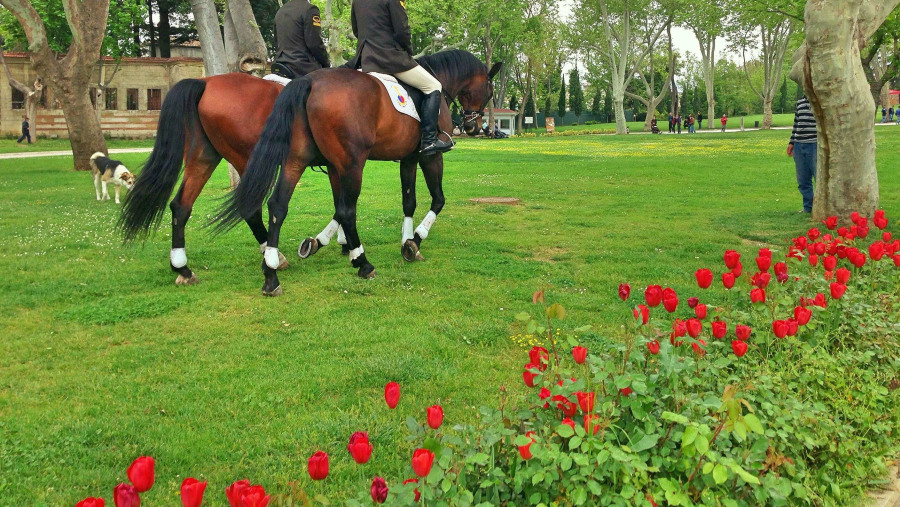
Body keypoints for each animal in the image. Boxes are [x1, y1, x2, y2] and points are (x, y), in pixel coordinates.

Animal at [215, 49, 502, 296]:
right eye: (490, 90)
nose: (474, 127)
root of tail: (309, 81)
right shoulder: (430, 156)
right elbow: (438, 199)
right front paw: (414, 241)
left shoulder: (406, 159)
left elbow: (408, 201)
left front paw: (405, 240)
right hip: (353, 164)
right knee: (346, 211)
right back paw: (362, 263)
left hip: (297, 160)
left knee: (278, 206)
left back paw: (271, 272)